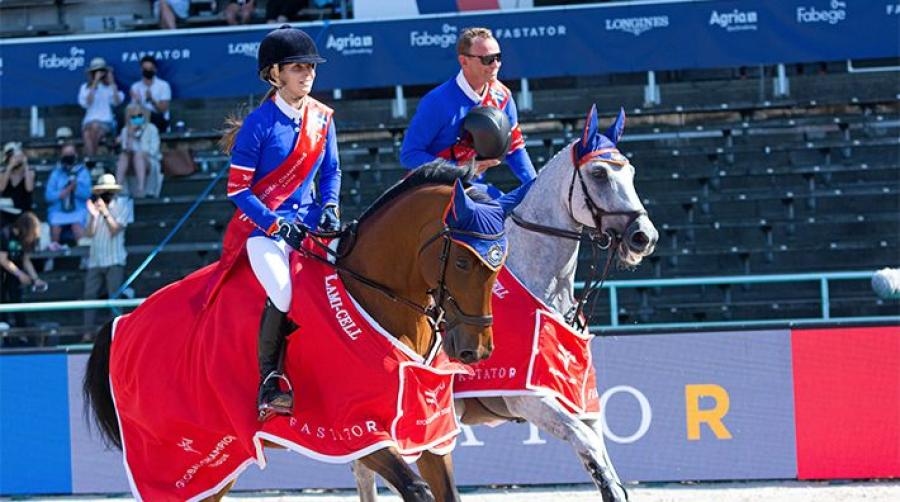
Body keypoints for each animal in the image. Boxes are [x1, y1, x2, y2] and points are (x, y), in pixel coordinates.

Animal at [82, 163, 536, 500]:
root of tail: (122, 325)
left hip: (215, 466)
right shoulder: (358, 431)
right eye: (461, 261)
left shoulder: (430, 430)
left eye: (500, 262)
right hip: (173, 462)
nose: (476, 350)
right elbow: (416, 490)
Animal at [356, 104, 656, 500]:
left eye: (632, 172)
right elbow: (589, 446)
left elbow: (603, 458)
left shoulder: (578, 399)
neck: (543, 287)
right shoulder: (528, 399)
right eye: (599, 173)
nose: (643, 237)